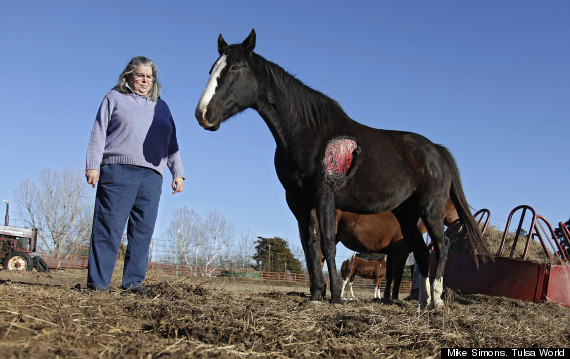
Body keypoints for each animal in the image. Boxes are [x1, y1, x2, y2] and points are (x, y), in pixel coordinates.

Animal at [195, 29, 488, 308]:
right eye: (211, 69)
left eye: (236, 67)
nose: (203, 114)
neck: (308, 132)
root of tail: (438, 151)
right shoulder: (299, 202)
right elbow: (311, 246)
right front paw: (316, 295)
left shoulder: (324, 196)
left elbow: (327, 243)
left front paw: (334, 296)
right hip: (408, 214)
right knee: (422, 251)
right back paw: (422, 303)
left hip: (430, 209)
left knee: (441, 245)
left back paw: (437, 300)